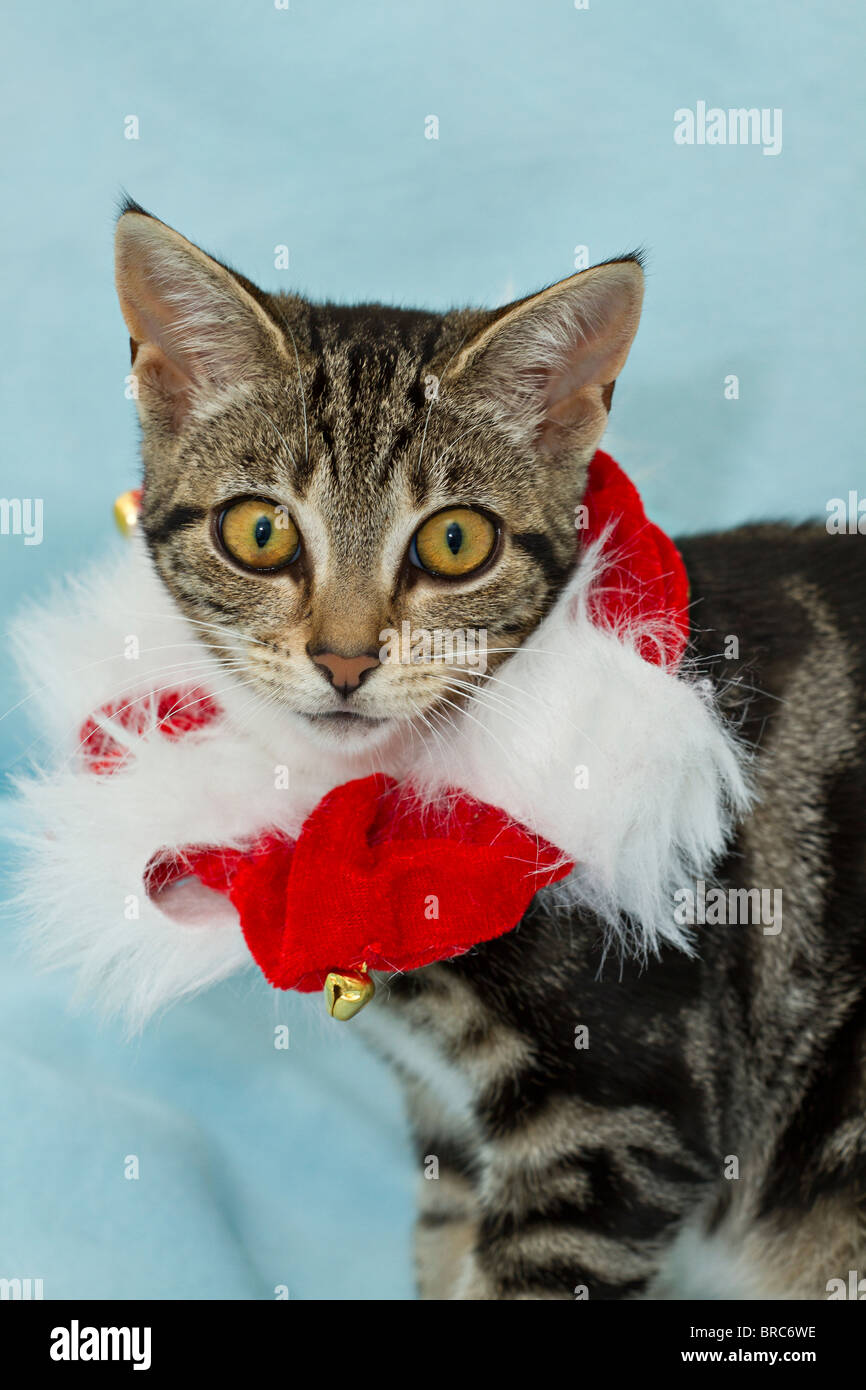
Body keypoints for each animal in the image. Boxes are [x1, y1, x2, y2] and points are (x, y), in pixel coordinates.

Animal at [113, 201, 866, 1295]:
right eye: (259, 531)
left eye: (455, 542)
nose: (344, 658)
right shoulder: (451, 1132)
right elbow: (443, 1251)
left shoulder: (616, 1119)